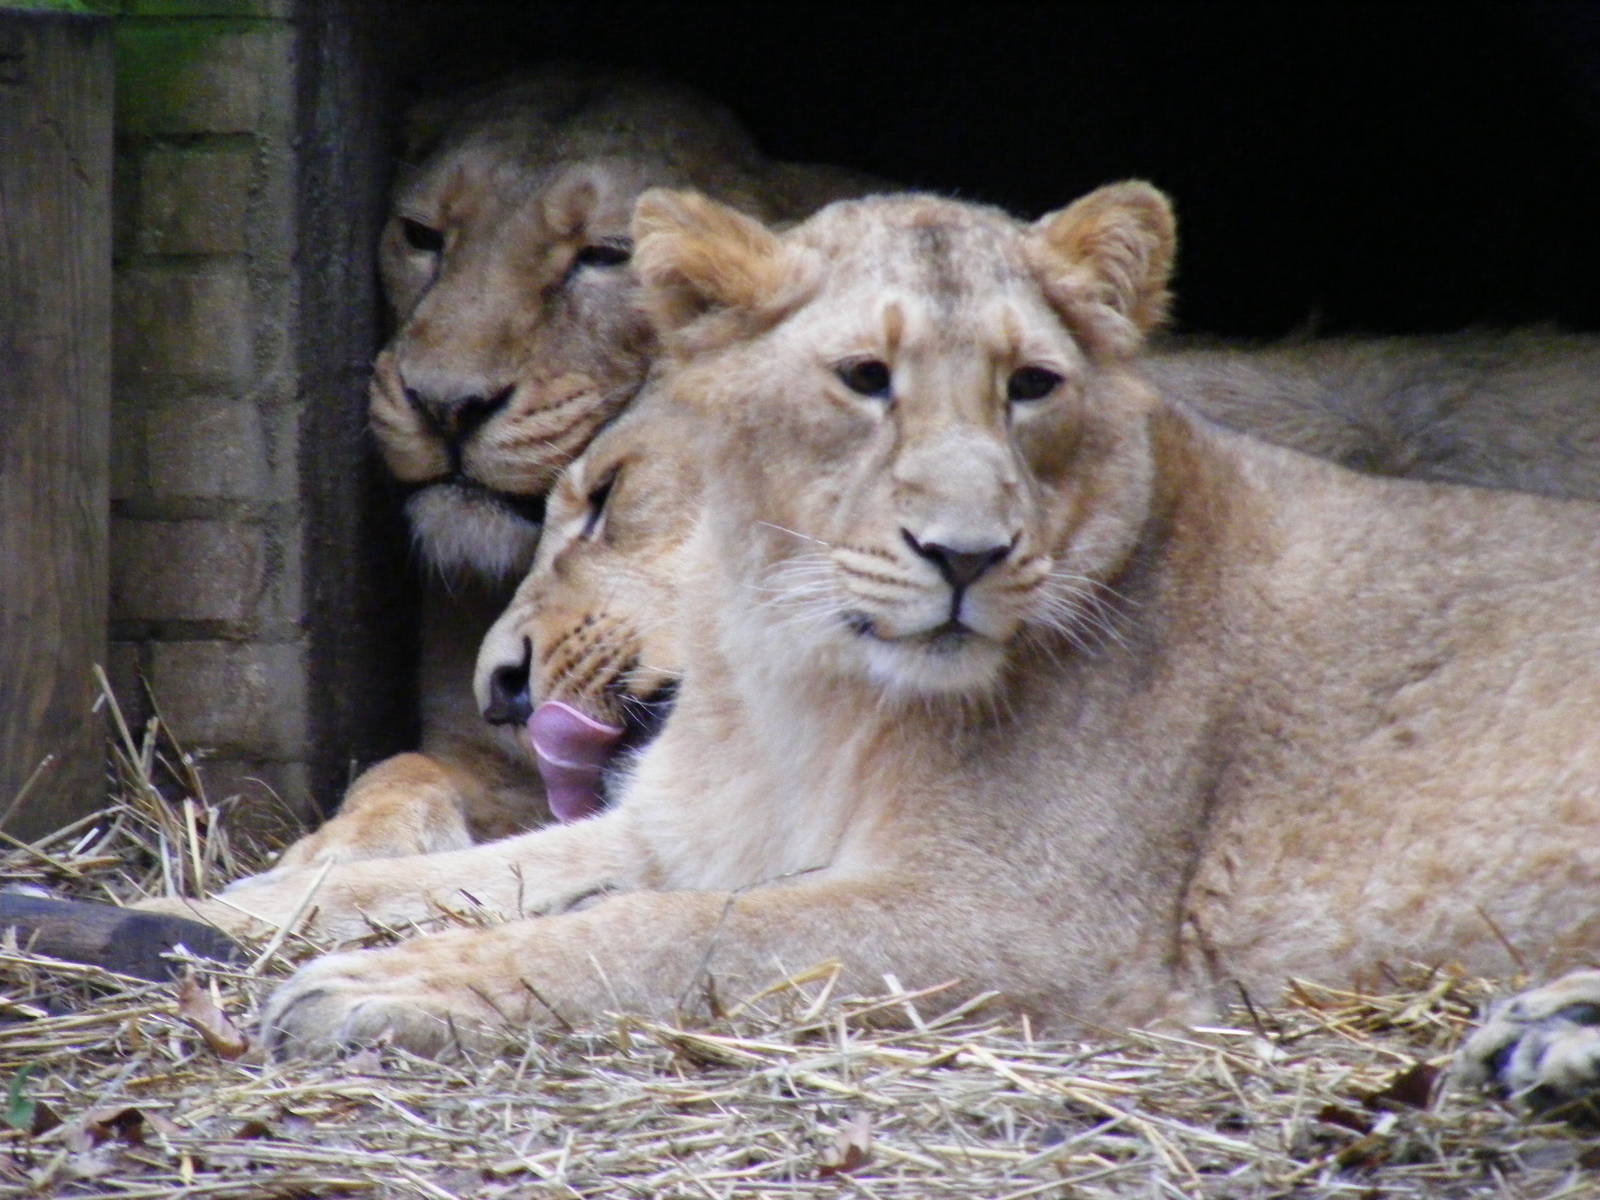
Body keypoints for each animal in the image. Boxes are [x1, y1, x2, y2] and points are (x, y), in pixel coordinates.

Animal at [157, 184, 1600, 1062]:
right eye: (863, 380)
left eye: (1031, 388)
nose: (499, 680)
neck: (796, 691)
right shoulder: (688, 824)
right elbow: (476, 873)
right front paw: (232, 907)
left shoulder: (1018, 921)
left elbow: (665, 933)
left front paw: (379, 992)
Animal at [271, 66, 882, 874]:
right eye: (421, 234)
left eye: (607, 253)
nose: (444, 404)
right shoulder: (494, 758)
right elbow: (402, 768)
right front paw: (346, 845)